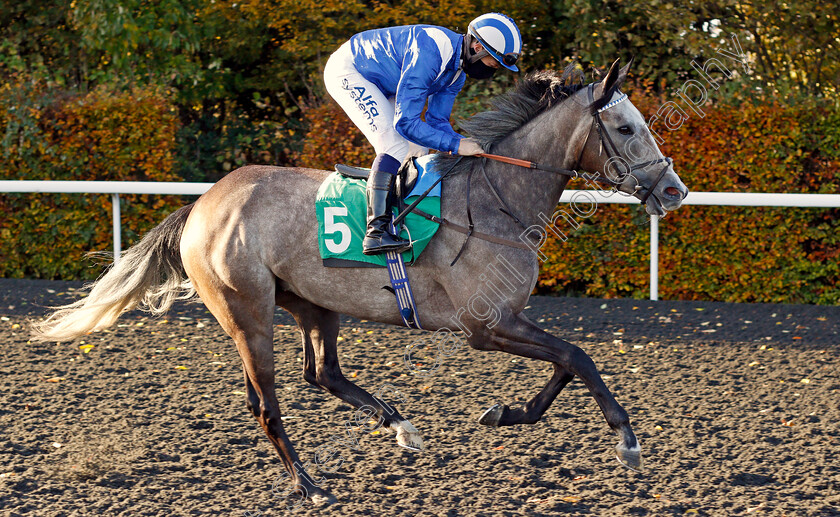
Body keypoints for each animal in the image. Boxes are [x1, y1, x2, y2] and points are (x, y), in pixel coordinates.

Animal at [32, 60, 688, 504]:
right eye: (625, 129)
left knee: (321, 372)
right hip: (247, 312)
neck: (495, 200)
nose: (675, 190)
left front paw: (505, 413)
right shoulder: (485, 325)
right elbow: (579, 356)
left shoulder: (504, 320)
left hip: (312, 303)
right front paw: (626, 439)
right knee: (267, 405)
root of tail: (201, 205)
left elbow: (566, 363)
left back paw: (401, 428)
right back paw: (312, 485)